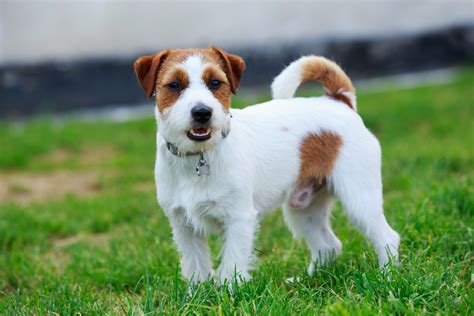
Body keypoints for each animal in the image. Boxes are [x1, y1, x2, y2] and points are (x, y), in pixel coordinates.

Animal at [133, 47, 400, 284]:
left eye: (216, 83)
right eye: (174, 85)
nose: (202, 112)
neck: (199, 156)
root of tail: (339, 101)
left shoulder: (239, 219)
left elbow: (232, 265)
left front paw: (229, 295)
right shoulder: (183, 226)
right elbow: (196, 267)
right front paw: (197, 298)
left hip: (359, 198)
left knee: (387, 238)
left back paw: (387, 279)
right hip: (303, 209)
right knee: (328, 246)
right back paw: (305, 280)